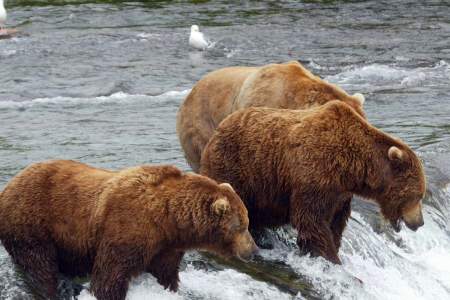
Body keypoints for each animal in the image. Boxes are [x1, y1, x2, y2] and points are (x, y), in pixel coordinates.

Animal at [0, 161, 256, 300]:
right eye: (242, 225)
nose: (253, 251)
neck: (167, 219)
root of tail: (9, 185)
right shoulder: (127, 227)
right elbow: (110, 275)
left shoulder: (166, 245)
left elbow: (165, 272)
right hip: (31, 223)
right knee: (39, 265)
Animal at [200, 102, 426, 264]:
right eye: (418, 195)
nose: (419, 222)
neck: (352, 167)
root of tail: (217, 130)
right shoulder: (315, 174)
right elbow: (312, 219)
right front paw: (330, 257)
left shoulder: (340, 192)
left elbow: (336, 221)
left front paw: (334, 247)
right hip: (237, 168)